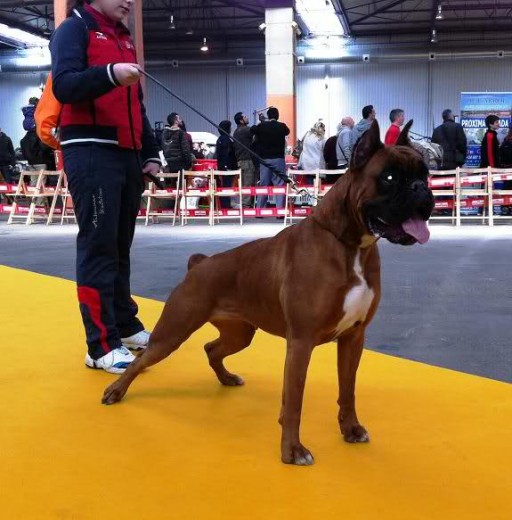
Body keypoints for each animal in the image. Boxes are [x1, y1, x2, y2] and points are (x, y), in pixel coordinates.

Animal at [102, 121, 434, 468]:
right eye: (390, 178)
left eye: (424, 174)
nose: (421, 189)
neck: (350, 244)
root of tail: (200, 263)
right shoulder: (301, 342)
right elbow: (294, 401)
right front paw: (292, 451)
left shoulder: (353, 338)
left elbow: (348, 390)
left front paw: (351, 429)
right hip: (173, 332)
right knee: (142, 361)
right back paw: (116, 391)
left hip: (240, 333)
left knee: (211, 348)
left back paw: (227, 378)